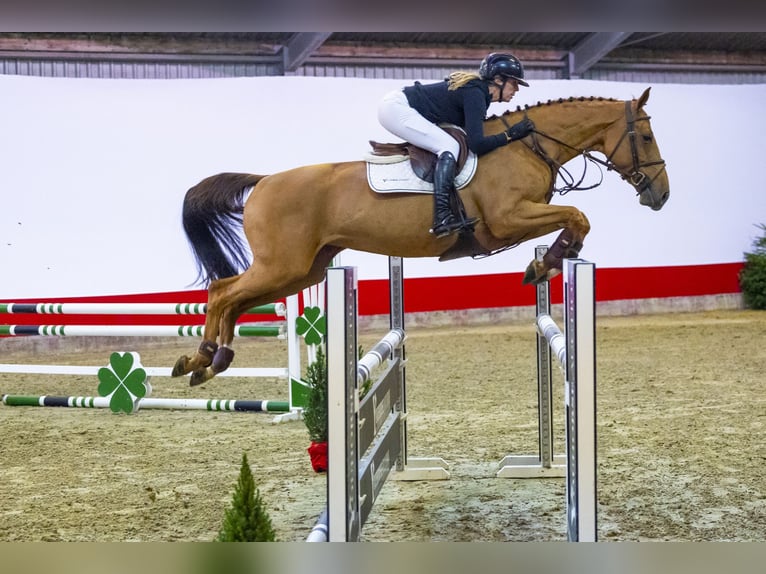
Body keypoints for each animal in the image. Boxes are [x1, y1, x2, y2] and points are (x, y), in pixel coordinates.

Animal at [171, 88, 668, 390]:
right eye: (645, 135)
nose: (660, 195)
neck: (525, 146)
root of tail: (264, 181)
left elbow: (575, 217)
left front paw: (547, 262)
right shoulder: (508, 219)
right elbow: (577, 216)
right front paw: (545, 264)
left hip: (301, 272)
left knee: (229, 296)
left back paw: (209, 361)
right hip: (282, 266)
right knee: (222, 293)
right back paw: (204, 357)